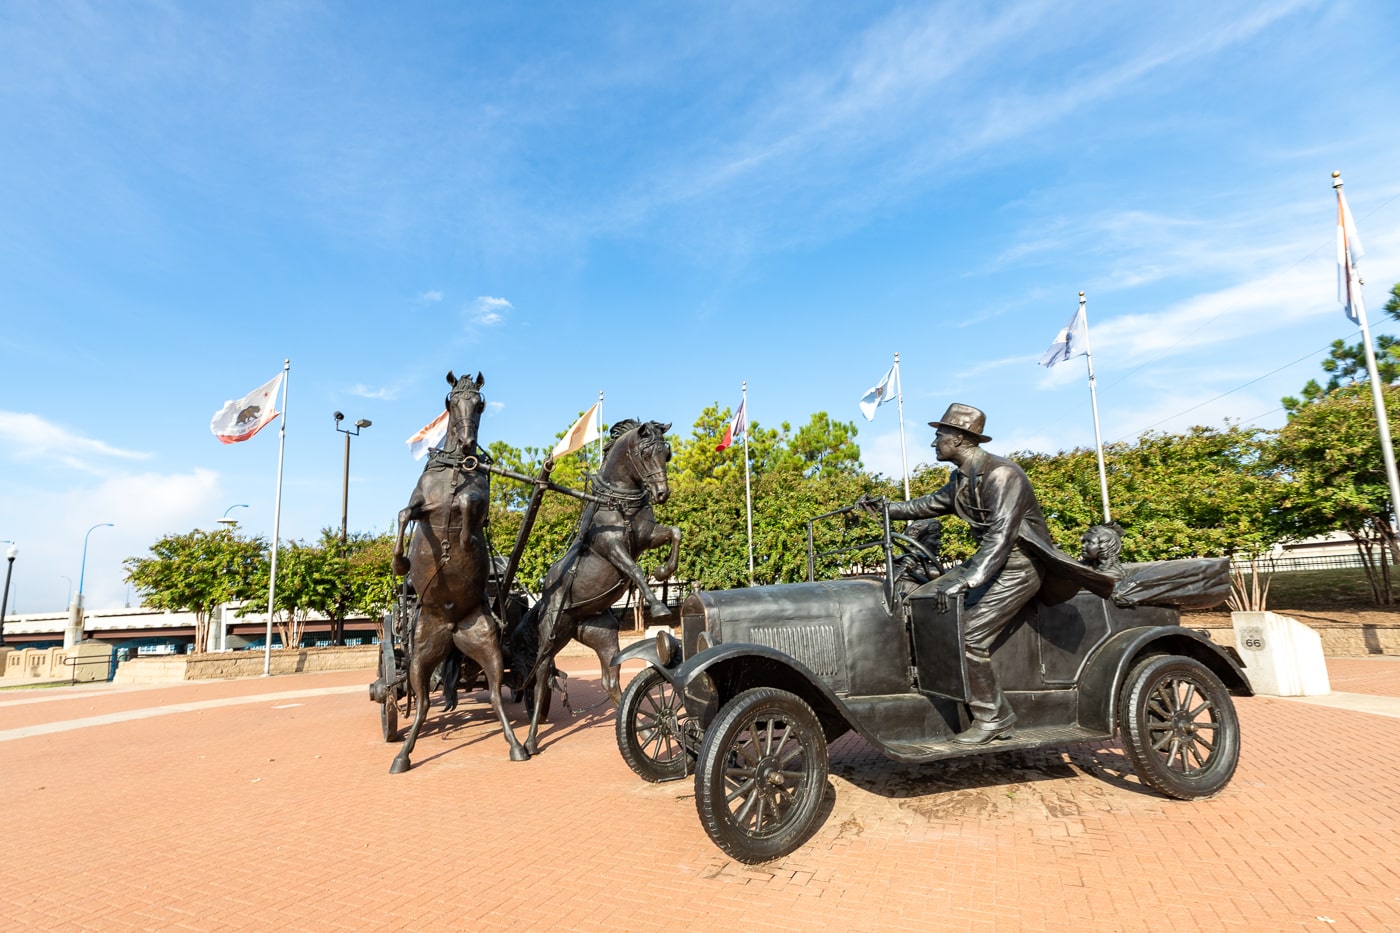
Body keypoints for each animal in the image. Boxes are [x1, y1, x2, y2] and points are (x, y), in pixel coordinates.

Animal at [389, 367, 529, 767]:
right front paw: (400, 560)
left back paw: (517, 745)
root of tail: (452, 631)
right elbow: (404, 514)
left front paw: (466, 543)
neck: (454, 470)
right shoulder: (419, 504)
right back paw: (402, 755)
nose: (467, 445)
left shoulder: (476, 501)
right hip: (420, 654)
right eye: (451, 401)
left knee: (496, 694)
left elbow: (468, 504)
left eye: (480, 403)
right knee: (421, 703)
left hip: (487, 645)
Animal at [520, 417, 683, 750]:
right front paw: (659, 606)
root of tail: (542, 600)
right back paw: (529, 742)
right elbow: (635, 569)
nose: (662, 493)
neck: (618, 503)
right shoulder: (612, 547)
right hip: (552, 637)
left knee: (611, 682)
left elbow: (675, 532)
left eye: (667, 452)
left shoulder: (647, 536)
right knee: (541, 679)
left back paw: (643, 729)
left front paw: (663, 570)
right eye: (646, 453)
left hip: (603, 637)